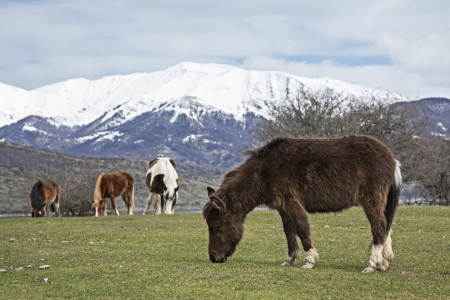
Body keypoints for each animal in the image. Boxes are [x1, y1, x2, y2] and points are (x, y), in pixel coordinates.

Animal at [202, 137, 402, 274]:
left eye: (217, 227)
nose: (213, 258)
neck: (263, 172)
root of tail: (392, 158)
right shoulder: (283, 207)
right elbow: (289, 231)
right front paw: (289, 259)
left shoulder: (292, 202)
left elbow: (301, 228)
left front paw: (309, 260)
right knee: (386, 227)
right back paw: (383, 262)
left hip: (371, 201)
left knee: (379, 227)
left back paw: (371, 264)